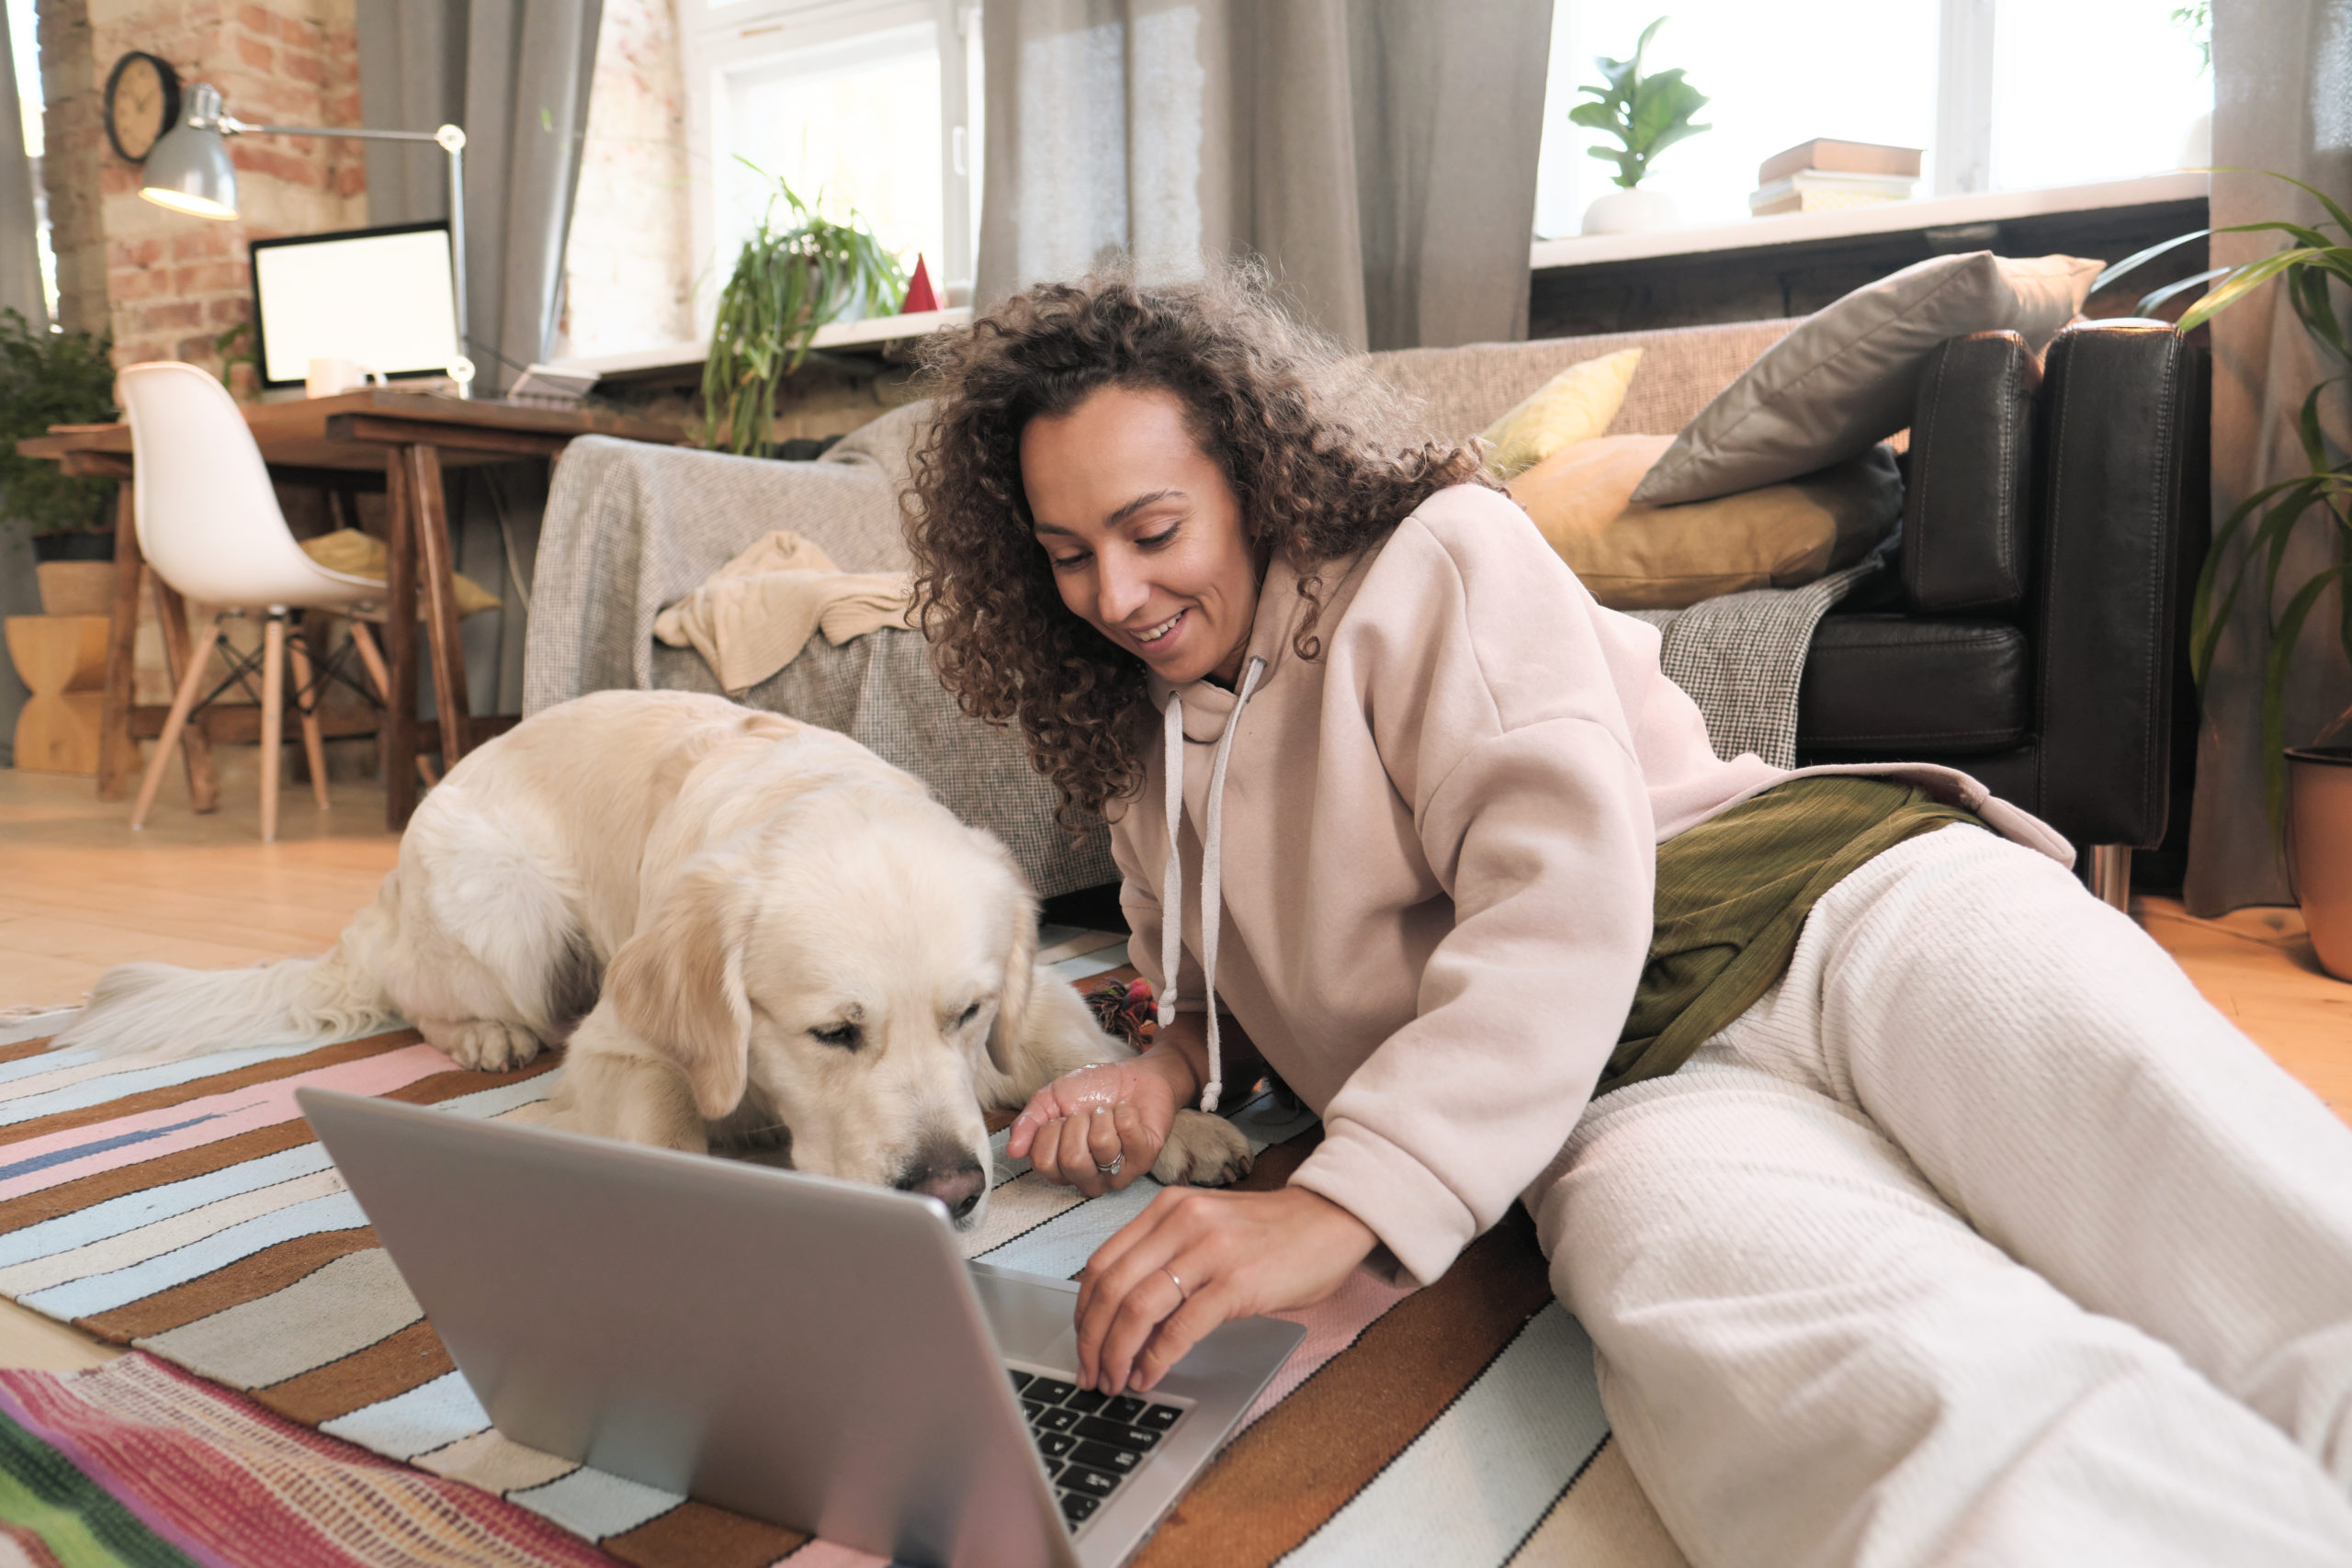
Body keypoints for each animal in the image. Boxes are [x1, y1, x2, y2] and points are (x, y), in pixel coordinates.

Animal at [59, 695, 1250, 1222]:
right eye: (833, 1032)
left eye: (964, 1016)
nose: (955, 1191)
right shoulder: (621, 1042)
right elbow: (665, 1120)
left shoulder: (1025, 985)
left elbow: (1069, 1045)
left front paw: (1167, 1123)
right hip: (510, 907)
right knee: (424, 995)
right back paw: (485, 1033)